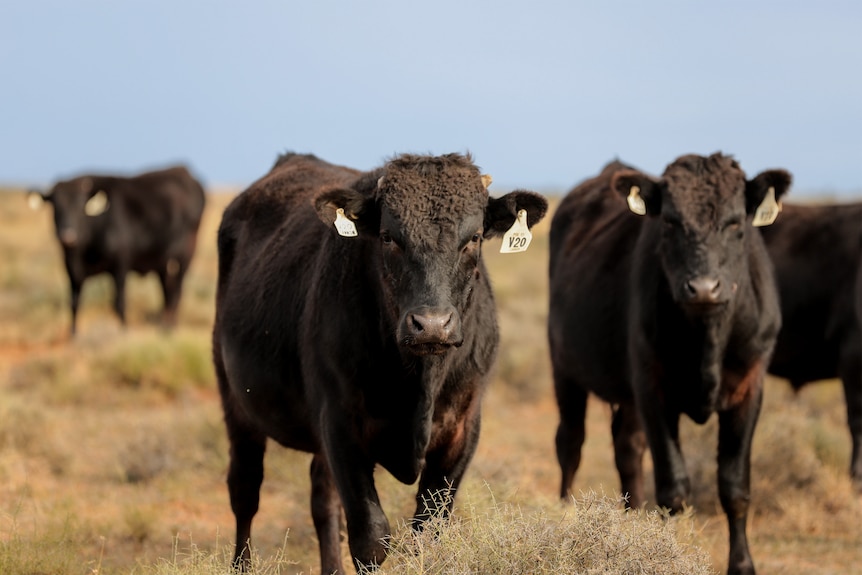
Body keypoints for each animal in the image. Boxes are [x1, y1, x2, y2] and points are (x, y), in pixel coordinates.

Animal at [31, 165, 206, 335]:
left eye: (80, 206)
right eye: (56, 206)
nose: (68, 235)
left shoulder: (120, 265)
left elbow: (119, 302)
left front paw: (123, 331)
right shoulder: (71, 271)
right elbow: (74, 303)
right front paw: (73, 334)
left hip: (185, 256)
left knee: (177, 291)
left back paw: (169, 328)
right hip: (163, 263)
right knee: (167, 292)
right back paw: (165, 325)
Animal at [212, 152, 547, 573]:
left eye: (472, 238)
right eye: (389, 237)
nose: (431, 324)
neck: (420, 384)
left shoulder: (463, 428)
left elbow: (428, 534)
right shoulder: (340, 424)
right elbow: (371, 538)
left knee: (322, 500)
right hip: (235, 401)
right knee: (245, 491)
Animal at [548, 153, 791, 575]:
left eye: (735, 223)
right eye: (670, 222)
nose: (704, 288)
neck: (707, 338)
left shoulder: (750, 387)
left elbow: (735, 486)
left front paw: (742, 564)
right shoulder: (653, 388)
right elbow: (673, 489)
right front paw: (670, 553)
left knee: (627, 449)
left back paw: (630, 519)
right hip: (564, 367)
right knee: (571, 442)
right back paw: (566, 513)